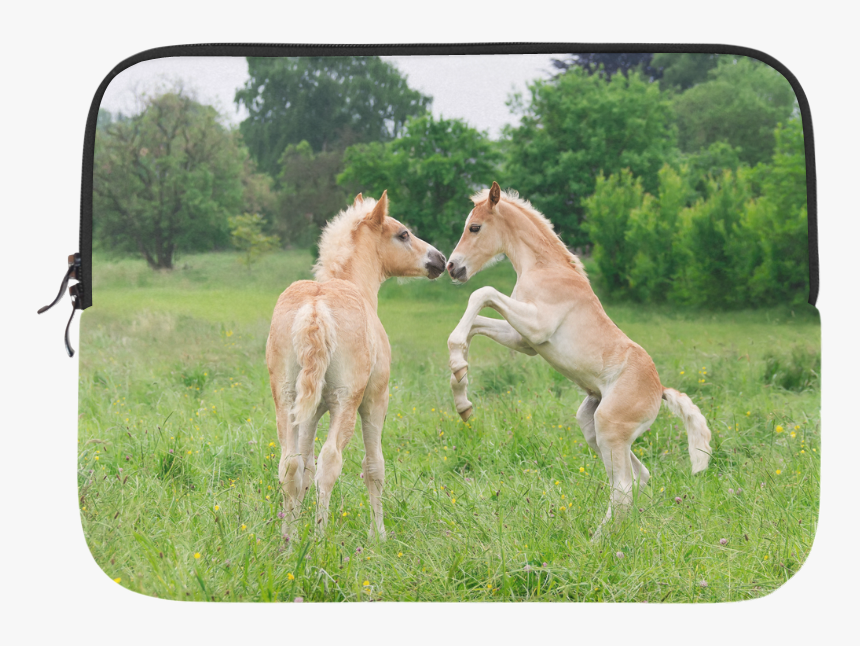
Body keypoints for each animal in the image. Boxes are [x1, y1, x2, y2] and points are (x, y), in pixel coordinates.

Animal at [266, 191, 447, 541]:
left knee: (290, 464)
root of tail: (315, 308)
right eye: (403, 234)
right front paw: (380, 535)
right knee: (330, 461)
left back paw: (288, 541)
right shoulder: (375, 400)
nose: (440, 259)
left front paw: (296, 524)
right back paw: (320, 538)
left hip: (286, 400)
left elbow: (303, 468)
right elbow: (373, 467)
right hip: (346, 401)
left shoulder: (310, 412)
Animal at [445, 182, 712, 540]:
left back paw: (597, 542)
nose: (452, 267)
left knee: (624, 487)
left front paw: (459, 374)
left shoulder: (536, 326)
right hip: (593, 426)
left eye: (474, 227)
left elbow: (482, 294)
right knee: (637, 477)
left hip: (610, 427)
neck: (545, 268)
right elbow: (475, 324)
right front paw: (461, 390)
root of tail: (660, 390)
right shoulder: (524, 340)